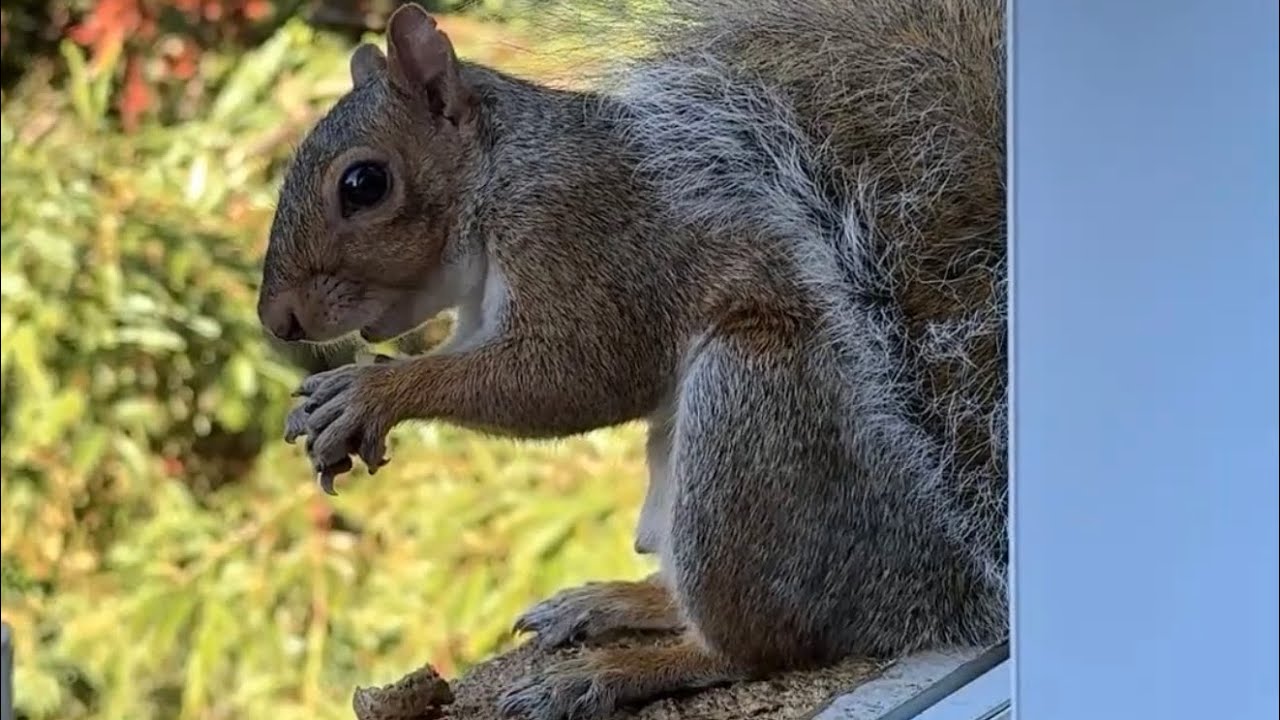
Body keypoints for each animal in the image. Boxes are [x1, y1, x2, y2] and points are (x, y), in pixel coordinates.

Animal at [258, 1, 1008, 718]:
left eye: (364, 184)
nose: (277, 320)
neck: (498, 176)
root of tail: (928, 582)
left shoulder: (586, 236)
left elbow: (575, 375)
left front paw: (372, 390)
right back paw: (613, 602)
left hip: (751, 410)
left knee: (755, 649)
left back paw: (608, 674)